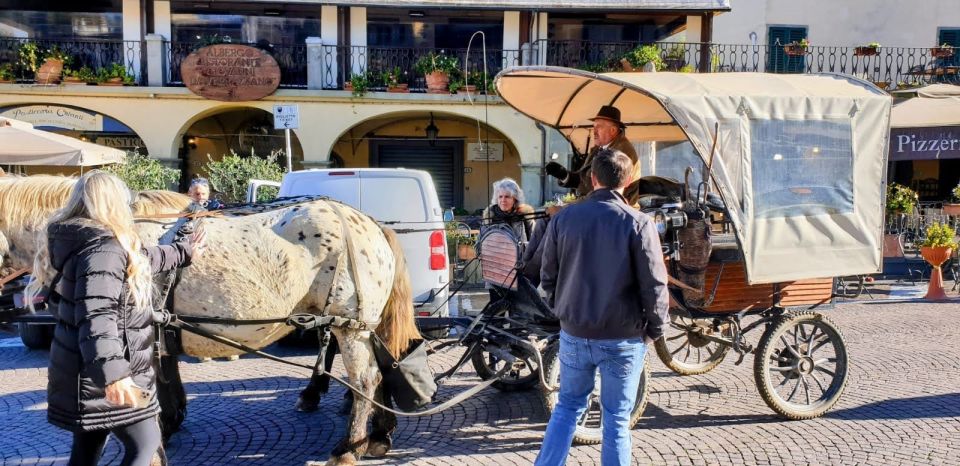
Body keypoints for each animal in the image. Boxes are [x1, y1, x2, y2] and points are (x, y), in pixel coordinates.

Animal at [0, 176, 420, 466]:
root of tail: (368, 221)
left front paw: (161, 435)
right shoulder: (161, 332)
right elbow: (167, 383)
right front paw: (171, 423)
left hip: (349, 325)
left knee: (365, 379)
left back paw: (348, 448)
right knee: (382, 372)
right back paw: (378, 437)